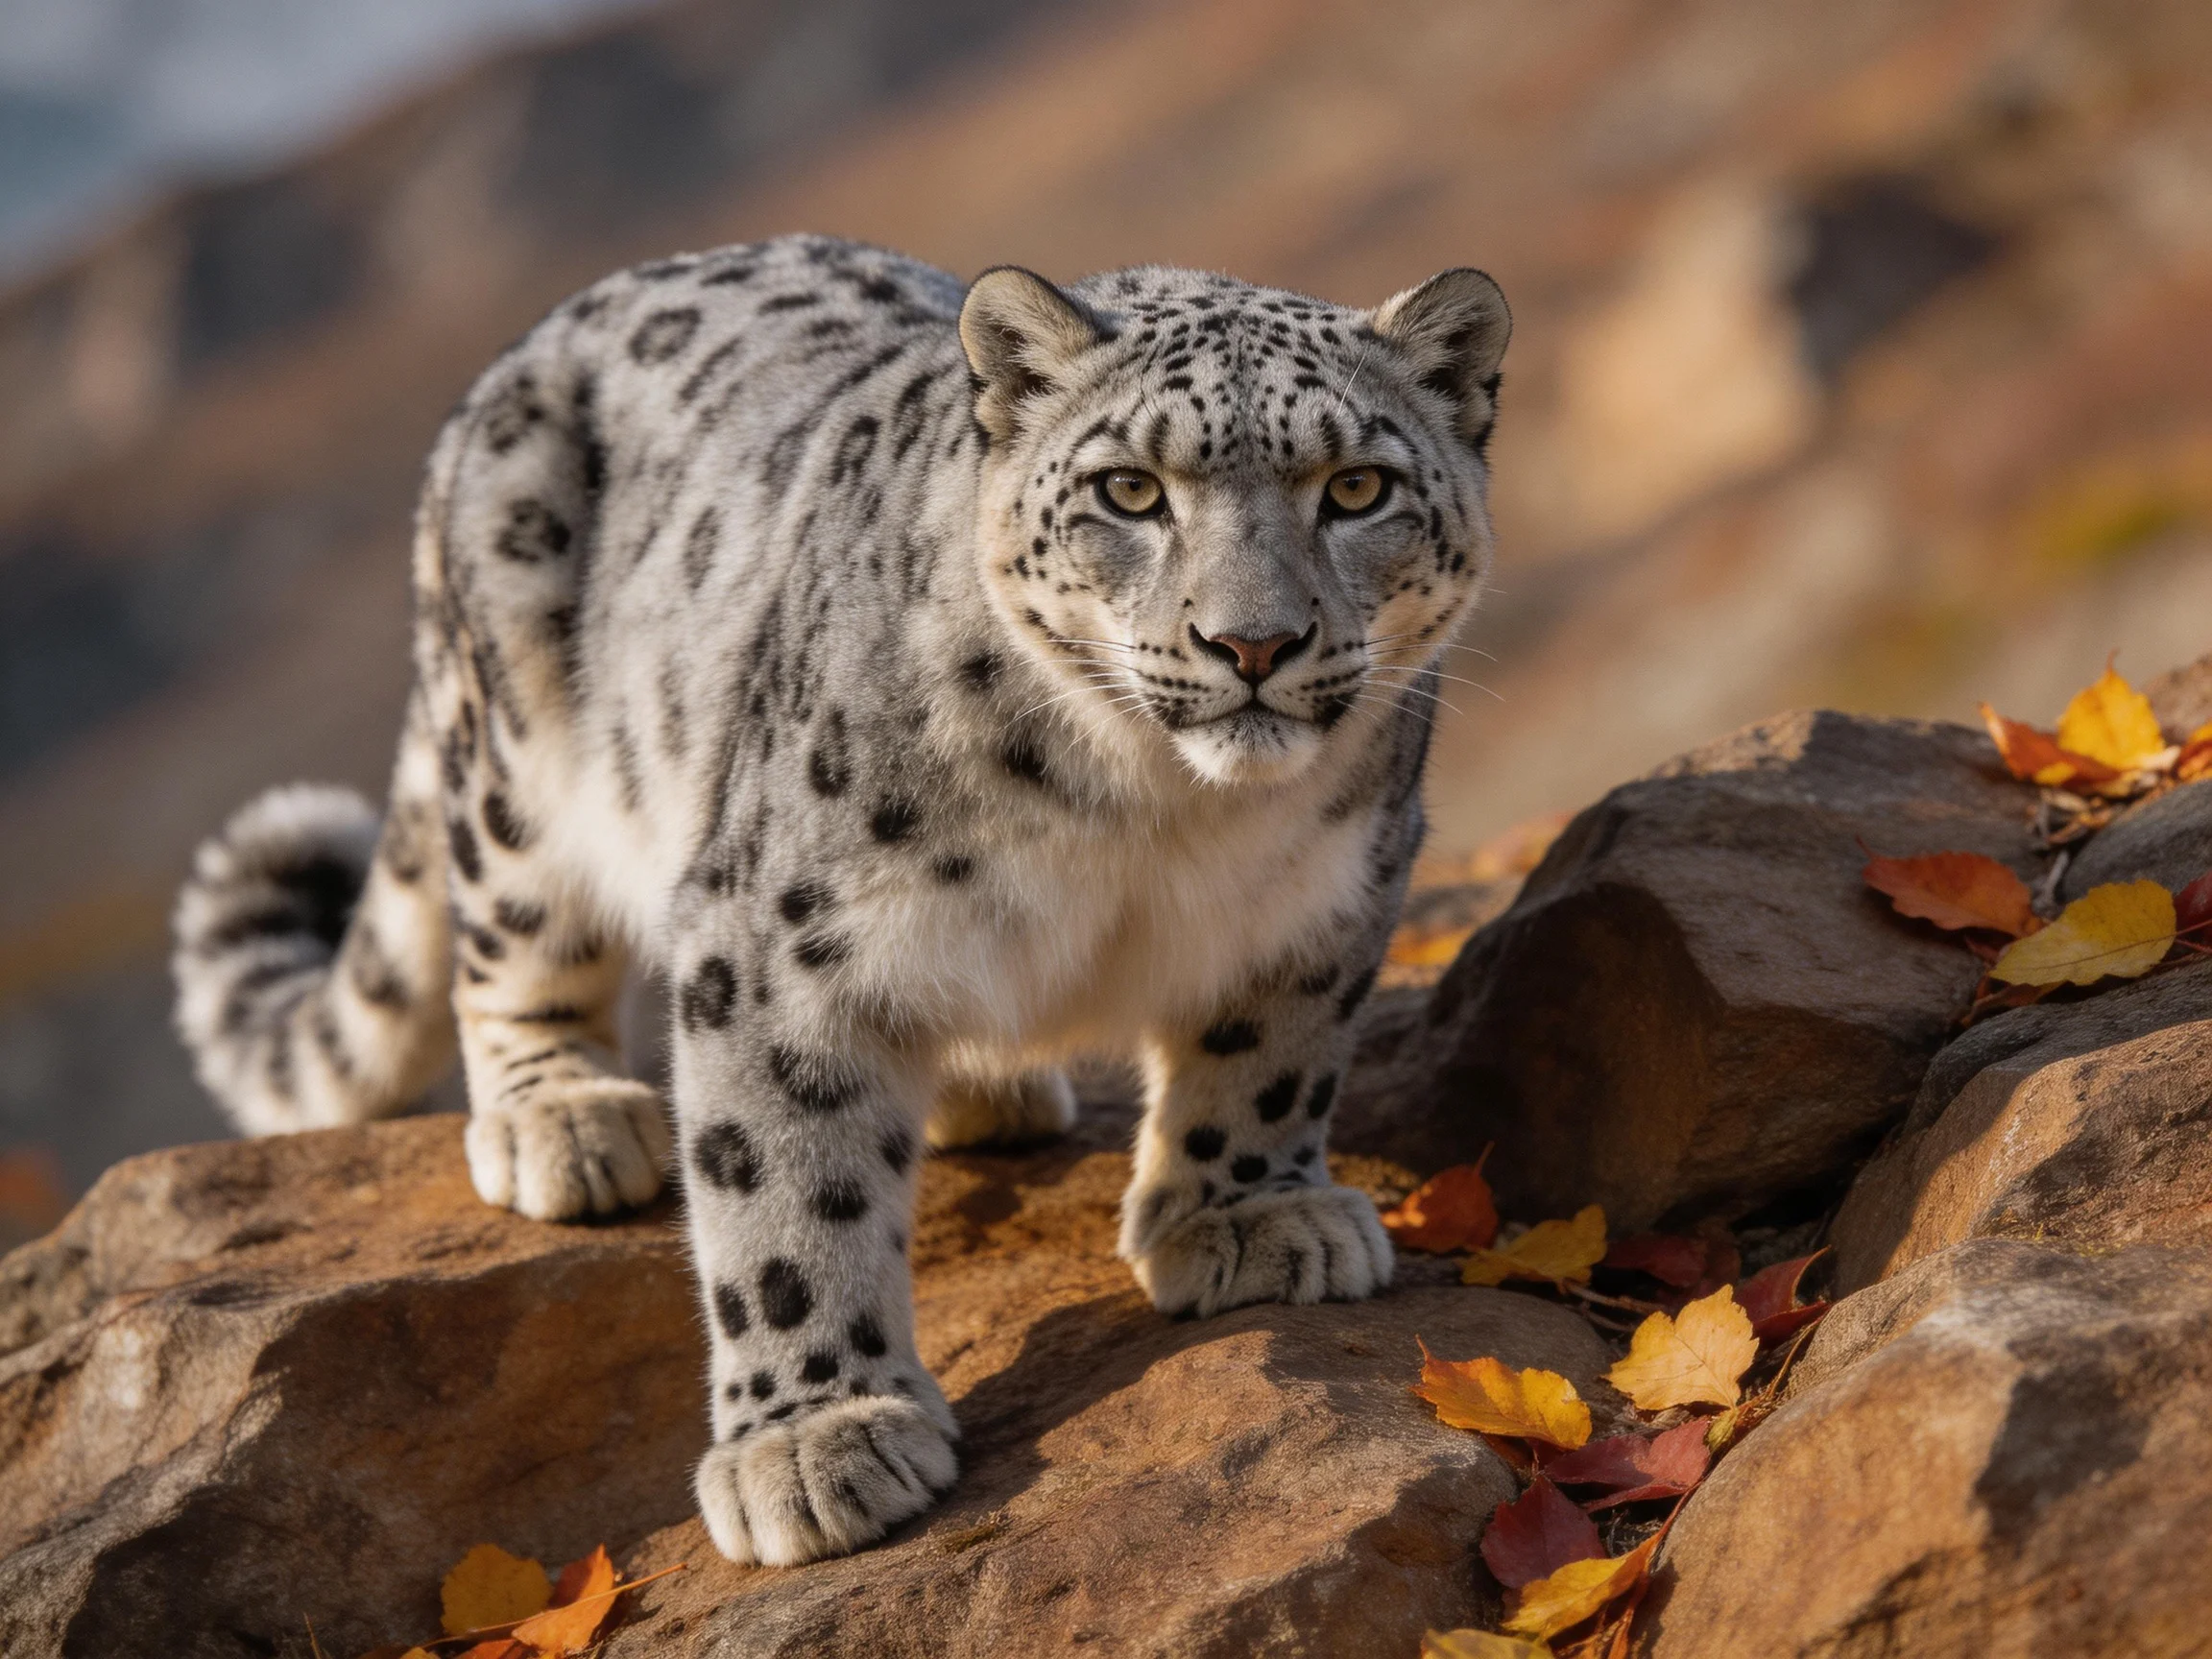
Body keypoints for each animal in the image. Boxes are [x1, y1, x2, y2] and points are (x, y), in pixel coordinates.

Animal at [172, 234, 1510, 1565]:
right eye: (1130, 492)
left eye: (1356, 489)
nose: (1254, 645)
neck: (1160, 812)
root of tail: (542, 331)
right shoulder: (779, 940)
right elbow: (782, 1187)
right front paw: (815, 1441)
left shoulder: (1331, 893)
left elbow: (1267, 1062)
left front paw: (1252, 1219)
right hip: (514, 758)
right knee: (511, 941)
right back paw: (565, 1121)